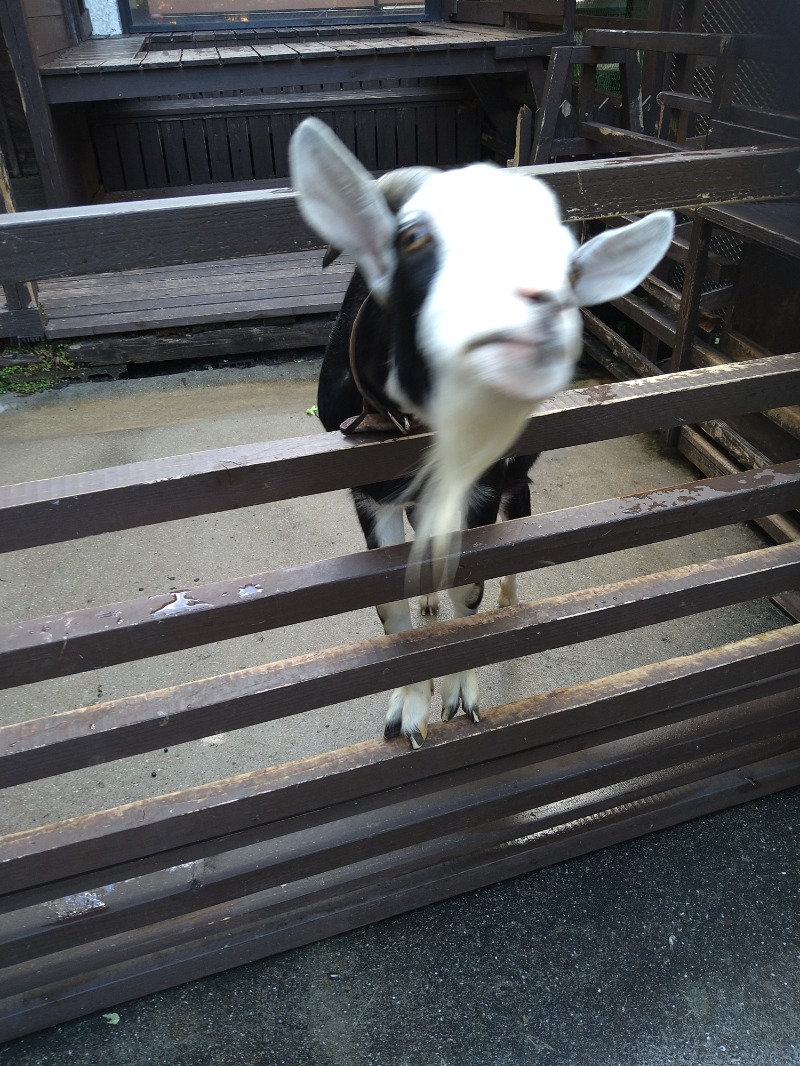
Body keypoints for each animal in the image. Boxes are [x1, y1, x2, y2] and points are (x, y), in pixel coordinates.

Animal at [292, 118, 674, 750]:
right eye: (413, 236)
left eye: (567, 263)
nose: (538, 309)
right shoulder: (368, 495)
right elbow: (389, 603)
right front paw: (408, 709)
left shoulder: (484, 487)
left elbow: (467, 589)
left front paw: (458, 695)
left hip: (516, 486)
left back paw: (508, 608)